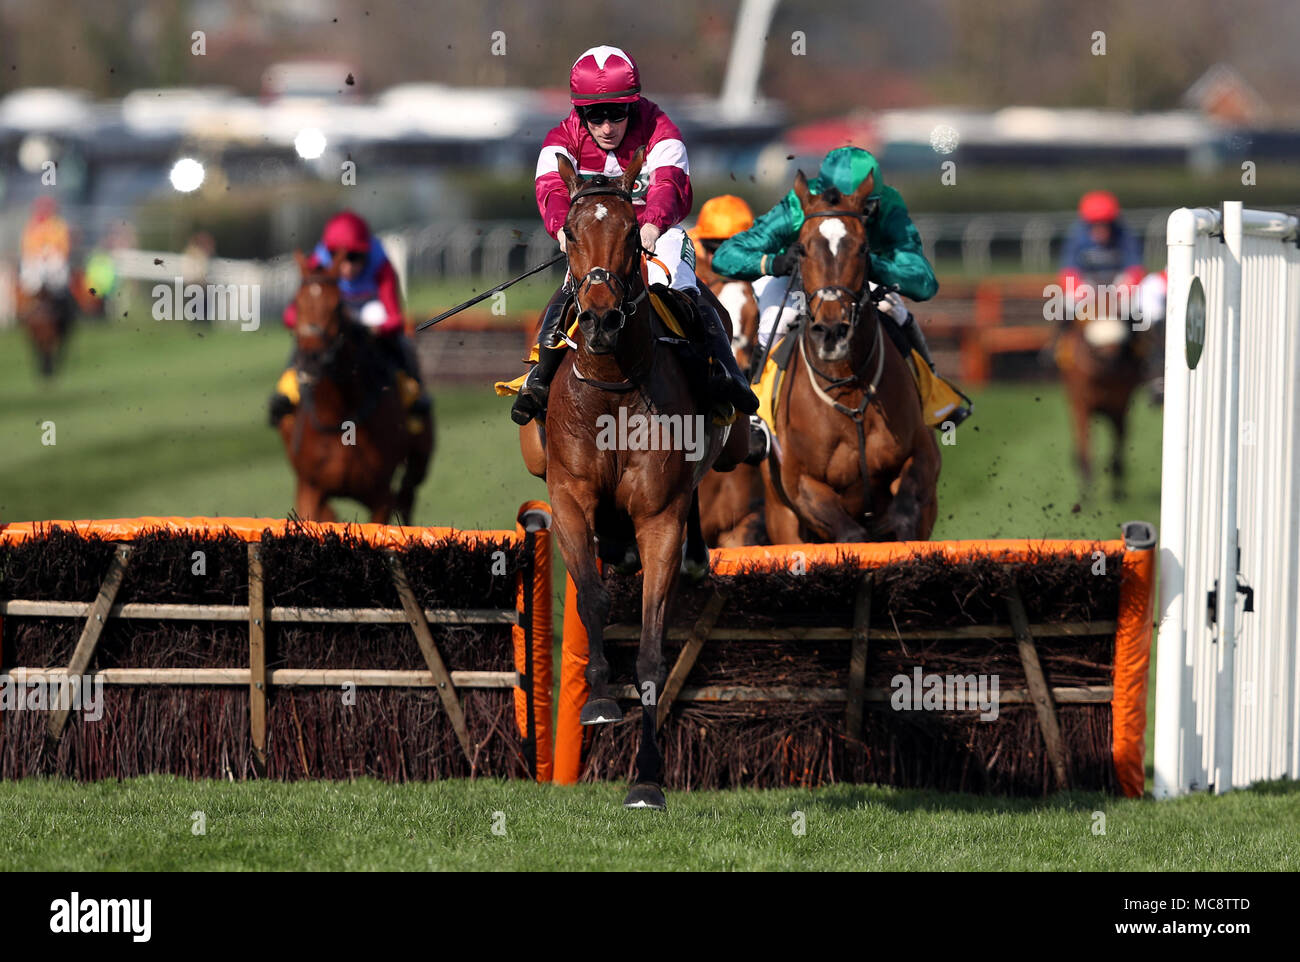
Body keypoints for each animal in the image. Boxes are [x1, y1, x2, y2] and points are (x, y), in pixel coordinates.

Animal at [276, 256, 434, 522]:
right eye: (297, 302)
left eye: (337, 305)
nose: (311, 361)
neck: (339, 416)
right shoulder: (309, 489)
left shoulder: (380, 496)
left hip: (419, 458)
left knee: (408, 494)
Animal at [514, 148, 748, 811]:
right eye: (571, 233)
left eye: (628, 232)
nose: (599, 320)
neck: (613, 388)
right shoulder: (568, 499)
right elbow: (592, 599)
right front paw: (596, 699)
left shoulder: (659, 516)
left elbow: (650, 648)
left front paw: (647, 778)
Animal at [759, 171, 941, 546]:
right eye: (803, 248)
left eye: (863, 248)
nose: (831, 331)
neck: (849, 389)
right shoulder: (801, 484)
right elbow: (850, 533)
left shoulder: (922, 456)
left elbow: (905, 513)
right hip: (780, 515)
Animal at [1060, 270, 1144, 496]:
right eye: (1092, 346)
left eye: (1121, 342)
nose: (1110, 362)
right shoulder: (1082, 404)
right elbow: (1085, 445)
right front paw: (1086, 489)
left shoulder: (1120, 403)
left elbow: (1119, 440)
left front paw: (1117, 486)